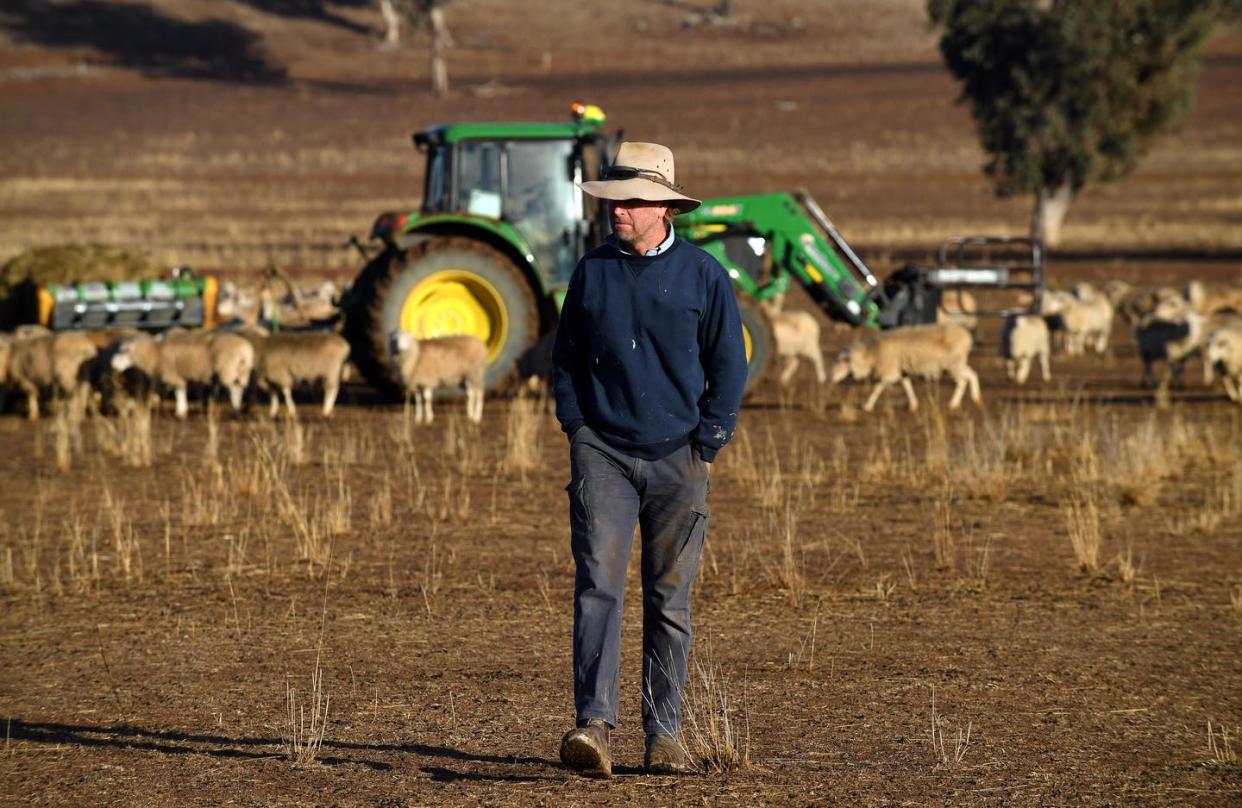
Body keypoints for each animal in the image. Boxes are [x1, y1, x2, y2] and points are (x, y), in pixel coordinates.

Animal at [113, 327, 255, 417]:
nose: (112, 363)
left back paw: (234, 410)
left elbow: (179, 392)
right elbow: (156, 392)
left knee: (234, 389)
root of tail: (246, 350)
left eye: (124, 351)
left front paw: (180, 411)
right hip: (242, 370)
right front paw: (130, 405)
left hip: (227, 369)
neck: (155, 351)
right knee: (240, 388)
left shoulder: (172, 374)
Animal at [829, 322, 983, 414]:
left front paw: (867, 406)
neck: (872, 353)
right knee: (972, 374)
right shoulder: (901, 371)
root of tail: (967, 336)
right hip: (957, 363)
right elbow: (907, 386)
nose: (832, 378)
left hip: (953, 363)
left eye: (840, 363)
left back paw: (955, 403)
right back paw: (975, 399)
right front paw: (913, 406)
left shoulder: (890, 371)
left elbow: (877, 387)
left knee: (963, 380)